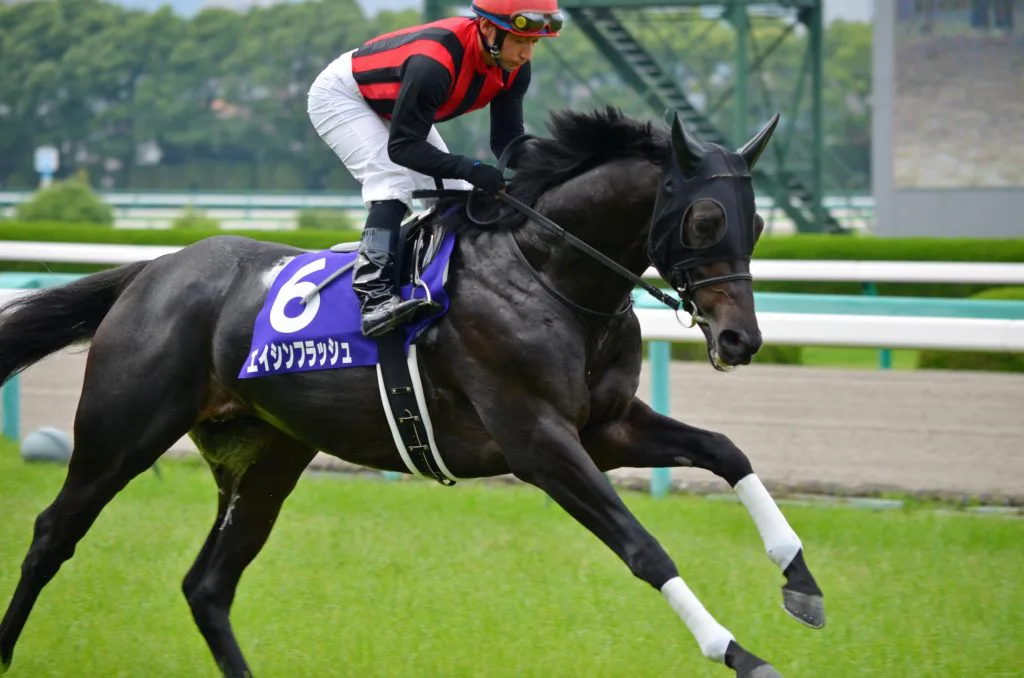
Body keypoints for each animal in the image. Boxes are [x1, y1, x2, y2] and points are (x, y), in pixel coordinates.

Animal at [0, 107, 824, 678]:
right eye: (706, 218)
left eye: (756, 224)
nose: (740, 340)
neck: (548, 273)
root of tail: (154, 269)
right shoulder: (538, 441)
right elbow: (644, 547)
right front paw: (739, 652)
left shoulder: (608, 426)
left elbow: (726, 451)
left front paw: (801, 582)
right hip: (121, 433)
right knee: (51, 535)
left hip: (267, 459)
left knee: (207, 584)